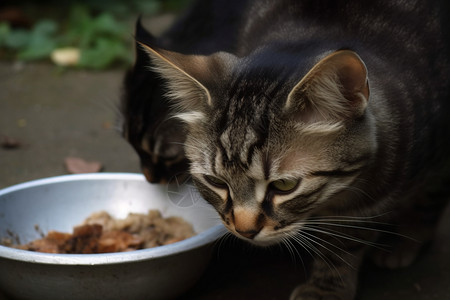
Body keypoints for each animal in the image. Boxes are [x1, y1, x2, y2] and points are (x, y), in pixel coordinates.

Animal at [121, 0, 448, 298]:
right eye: (216, 182)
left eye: (284, 185)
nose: (244, 231)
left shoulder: (367, 204)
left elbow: (344, 242)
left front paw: (326, 288)